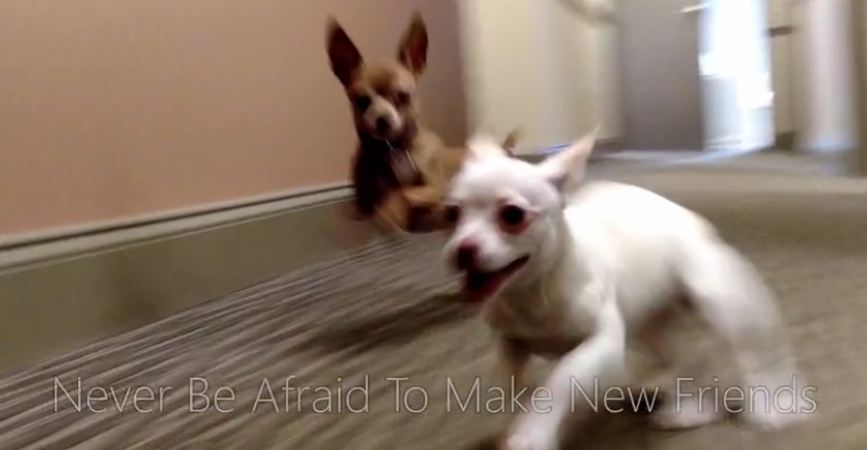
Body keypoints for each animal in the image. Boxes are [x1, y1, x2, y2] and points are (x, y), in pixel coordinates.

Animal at [444, 134, 804, 450]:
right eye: (451, 214)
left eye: (512, 215)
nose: (463, 250)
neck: (533, 290)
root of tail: (693, 219)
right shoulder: (511, 344)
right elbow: (510, 387)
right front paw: (516, 420)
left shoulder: (601, 345)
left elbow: (559, 382)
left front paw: (531, 434)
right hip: (652, 326)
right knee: (683, 361)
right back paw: (689, 408)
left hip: (717, 296)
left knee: (755, 354)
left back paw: (769, 408)